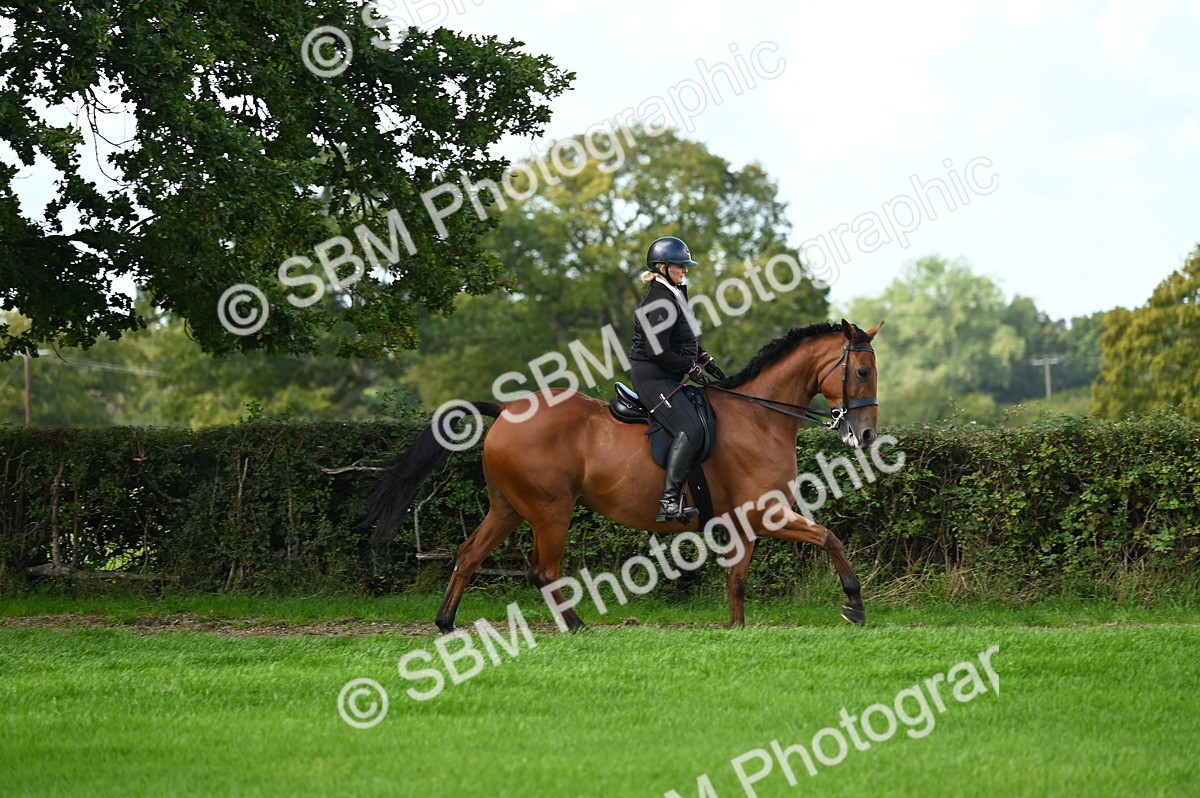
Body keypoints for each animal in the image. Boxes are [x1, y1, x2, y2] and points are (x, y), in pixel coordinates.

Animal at [364, 319, 882, 631]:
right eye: (861, 371)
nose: (867, 434)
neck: (762, 416)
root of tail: (508, 410)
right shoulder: (767, 513)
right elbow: (830, 538)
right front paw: (854, 605)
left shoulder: (746, 521)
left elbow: (737, 579)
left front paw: (736, 630)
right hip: (550, 511)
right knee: (542, 570)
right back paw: (576, 627)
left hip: (508, 507)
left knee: (469, 554)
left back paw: (446, 622)